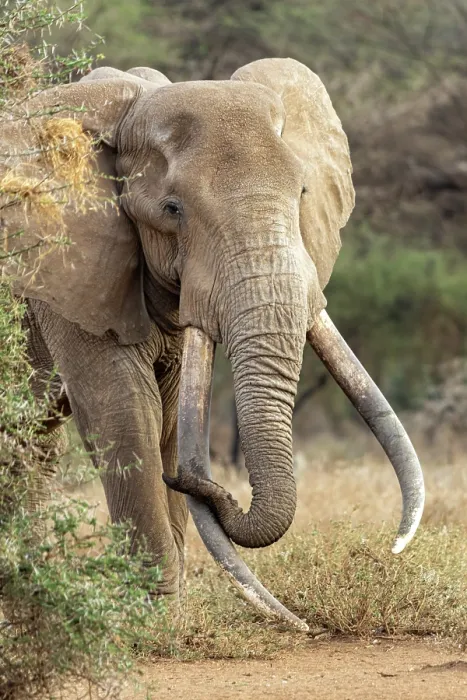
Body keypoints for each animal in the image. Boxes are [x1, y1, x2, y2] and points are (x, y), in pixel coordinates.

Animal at [0, 59, 425, 630]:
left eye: (303, 194)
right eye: (172, 209)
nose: (302, 625)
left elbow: (170, 417)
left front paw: (169, 616)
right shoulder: (68, 263)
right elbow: (125, 413)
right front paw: (152, 626)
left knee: (34, 448)